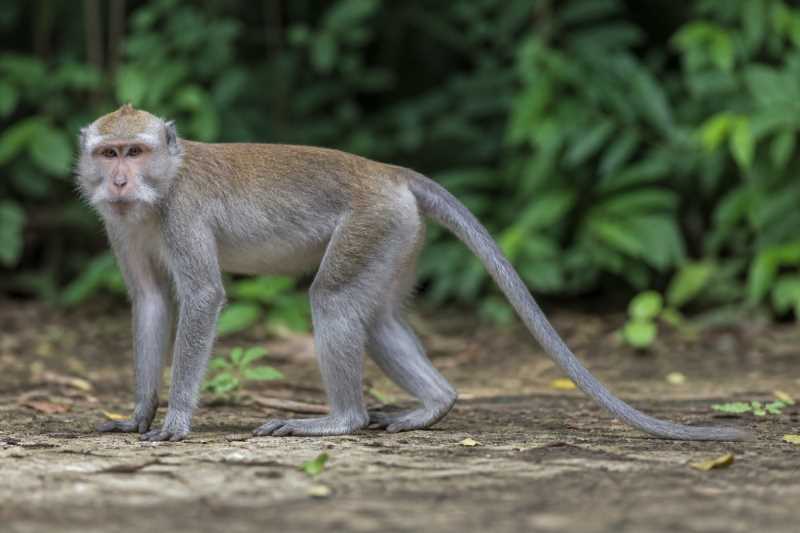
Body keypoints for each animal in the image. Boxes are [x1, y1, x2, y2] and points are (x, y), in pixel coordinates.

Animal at [75, 104, 750, 442]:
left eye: (135, 151)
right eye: (108, 153)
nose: (119, 181)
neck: (159, 190)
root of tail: (388, 172)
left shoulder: (184, 211)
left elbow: (203, 297)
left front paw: (176, 421)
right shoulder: (120, 224)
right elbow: (151, 301)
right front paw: (139, 413)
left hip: (373, 222)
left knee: (334, 301)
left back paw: (339, 422)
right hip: (399, 235)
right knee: (374, 317)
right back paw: (435, 405)